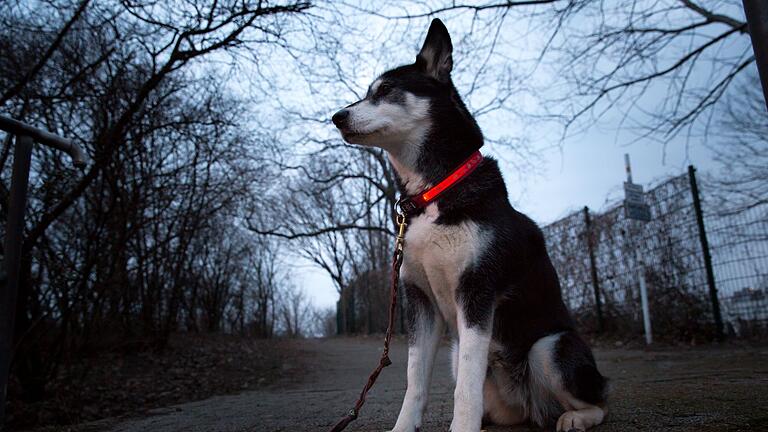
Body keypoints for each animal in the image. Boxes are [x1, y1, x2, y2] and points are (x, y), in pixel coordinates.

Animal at [332, 17, 608, 432]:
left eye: (386, 91)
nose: (337, 117)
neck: (433, 192)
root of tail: (530, 408)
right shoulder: (420, 301)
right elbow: (415, 380)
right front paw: (404, 426)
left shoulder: (476, 292)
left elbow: (467, 385)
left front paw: (461, 426)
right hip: (462, 353)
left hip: (550, 347)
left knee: (599, 398)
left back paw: (574, 417)